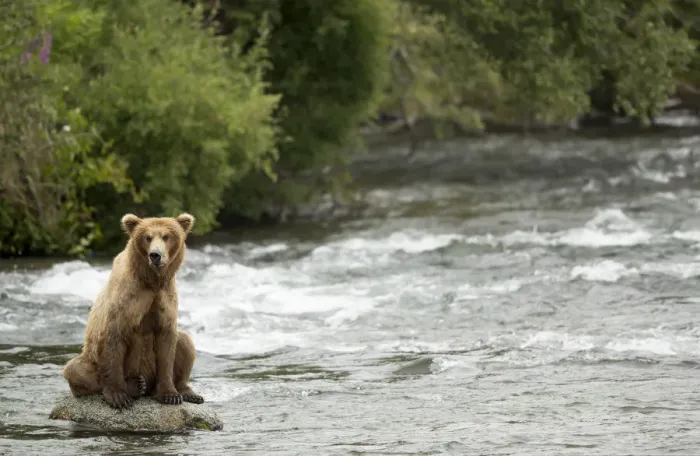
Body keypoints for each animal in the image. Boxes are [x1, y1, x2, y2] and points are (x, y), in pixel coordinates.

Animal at [62, 212, 204, 409]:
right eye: (147, 237)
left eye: (166, 236)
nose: (155, 255)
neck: (151, 280)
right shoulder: (128, 298)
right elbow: (113, 337)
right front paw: (118, 397)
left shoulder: (165, 299)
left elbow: (168, 343)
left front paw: (170, 395)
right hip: (92, 360)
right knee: (75, 369)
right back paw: (135, 385)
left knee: (185, 341)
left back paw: (187, 392)